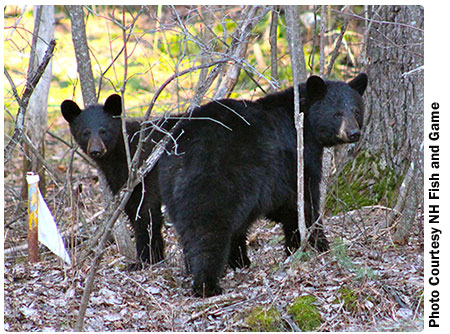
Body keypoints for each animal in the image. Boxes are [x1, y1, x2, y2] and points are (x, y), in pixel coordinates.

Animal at [61, 73, 368, 298]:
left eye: (356, 110)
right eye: (337, 113)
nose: (354, 133)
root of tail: (180, 148)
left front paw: (244, 259)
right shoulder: (295, 158)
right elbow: (303, 202)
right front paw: (315, 246)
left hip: (178, 186)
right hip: (213, 182)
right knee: (208, 229)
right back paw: (207, 284)